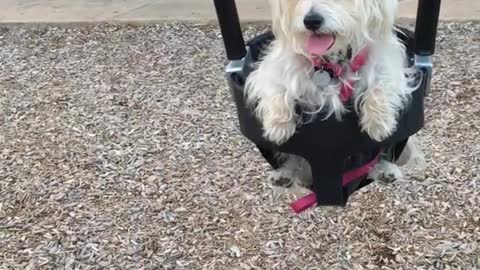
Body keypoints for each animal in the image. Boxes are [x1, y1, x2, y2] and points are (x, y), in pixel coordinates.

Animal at [246, 0, 422, 188]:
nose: (311, 21)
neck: (330, 62)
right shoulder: (272, 70)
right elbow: (276, 90)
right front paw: (277, 125)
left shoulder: (388, 66)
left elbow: (381, 86)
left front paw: (378, 122)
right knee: (299, 163)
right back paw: (284, 174)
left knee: (376, 157)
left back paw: (385, 171)